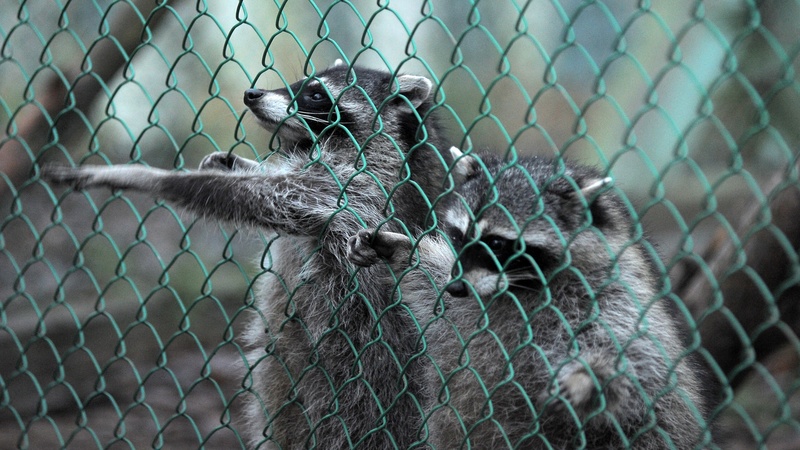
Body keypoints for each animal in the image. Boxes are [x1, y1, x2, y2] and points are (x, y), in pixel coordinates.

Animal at [43, 61, 454, 448]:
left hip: (363, 378)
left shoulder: (349, 185)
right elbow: (262, 183)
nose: (252, 94)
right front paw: (232, 163)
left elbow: (265, 195)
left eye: (316, 94)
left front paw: (143, 175)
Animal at [346, 151, 708, 450]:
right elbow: (432, 289)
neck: (519, 288)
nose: (458, 288)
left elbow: (640, 367)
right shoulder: (467, 299)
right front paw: (403, 252)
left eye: (497, 243)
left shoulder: (616, 299)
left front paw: (590, 378)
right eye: (459, 236)